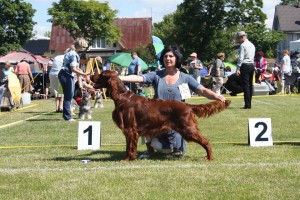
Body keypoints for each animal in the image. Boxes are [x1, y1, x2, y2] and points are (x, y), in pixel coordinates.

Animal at [93, 71, 230, 162]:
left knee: (206, 141)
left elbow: (129, 147)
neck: (122, 97)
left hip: (188, 129)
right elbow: (129, 147)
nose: (89, 76)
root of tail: (187, 106)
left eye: (101, 74)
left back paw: (209, 157)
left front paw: (127, 159)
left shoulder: (130, 130)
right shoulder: (130, 131)